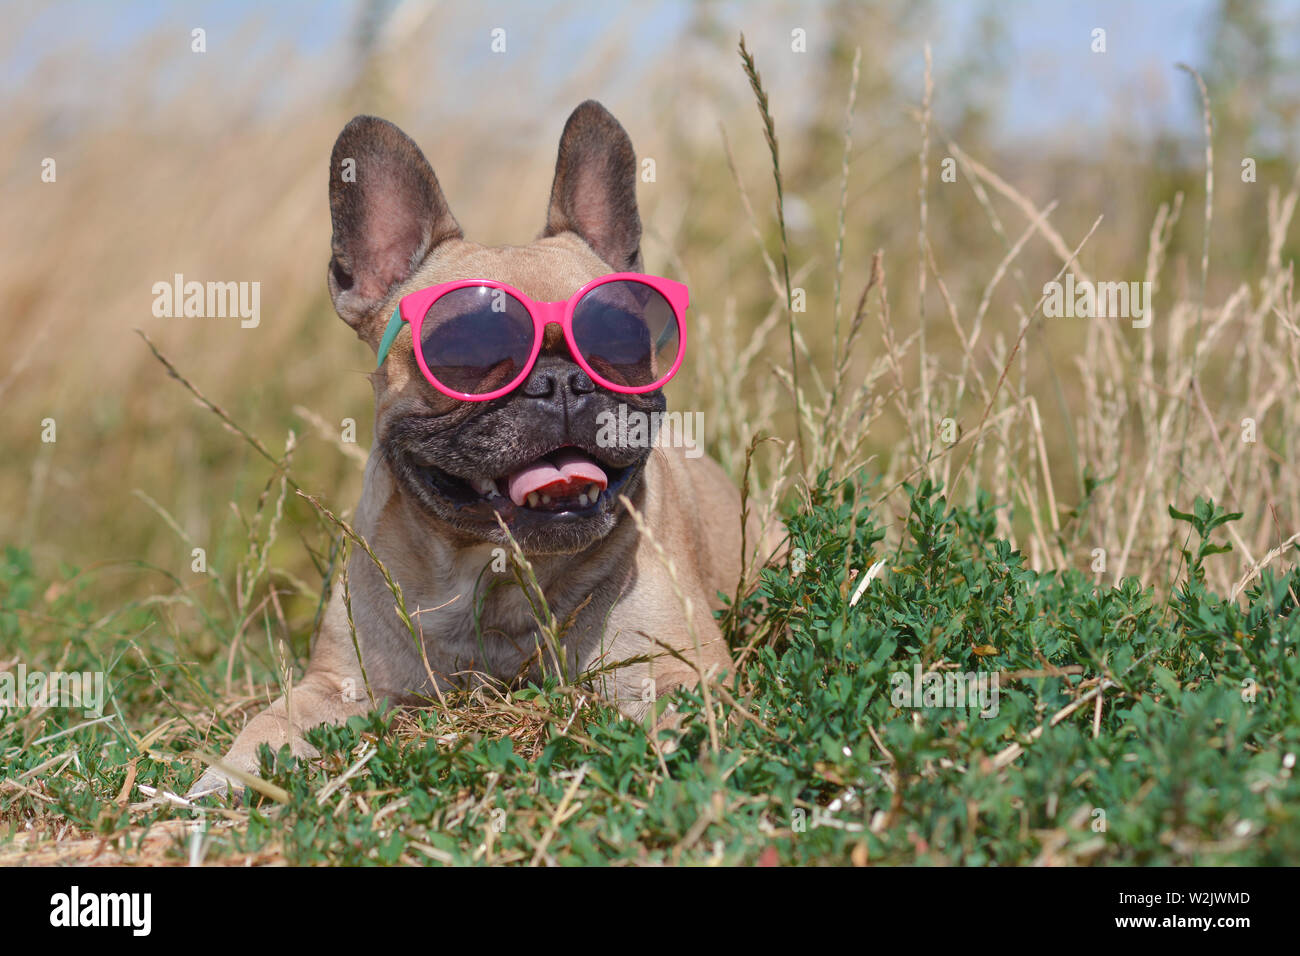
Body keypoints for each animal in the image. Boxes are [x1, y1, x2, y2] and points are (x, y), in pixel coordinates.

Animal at [189, 100, 759, 801]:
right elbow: (270, 724)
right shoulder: (334, 683)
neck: (498, 574)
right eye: (467, 351)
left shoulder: (681, 671)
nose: (560, 381)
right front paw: (225, 778)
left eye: (621, 340)